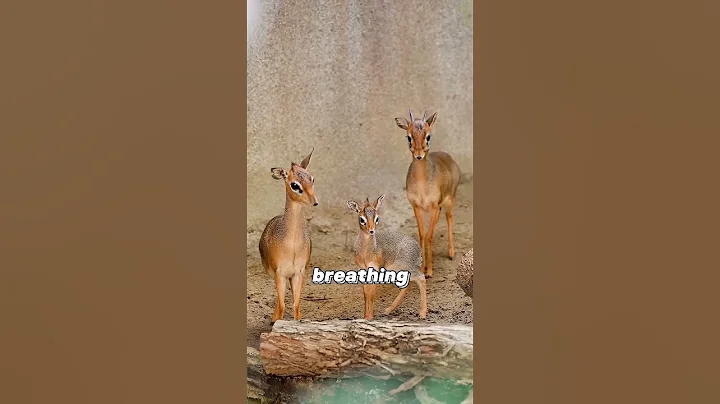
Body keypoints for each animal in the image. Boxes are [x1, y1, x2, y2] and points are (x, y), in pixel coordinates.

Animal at [259, 148, 318, 323]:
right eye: (294, 184)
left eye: (312, 178)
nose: (315, 201)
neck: (292, 244)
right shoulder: (280, 273)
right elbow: (283, 305)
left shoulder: (298, 272)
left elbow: (296, 306)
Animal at [394, 109, 461, 278]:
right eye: (409, 137)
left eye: (428, 136)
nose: (419, 155)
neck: (422, 186)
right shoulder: (417, 207)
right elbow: (422, 235)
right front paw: (421, 269)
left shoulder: (434, 207)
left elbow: (429, 236)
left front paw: (429, 271)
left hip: (450, 201)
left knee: (449, 218)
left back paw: (451, 253)